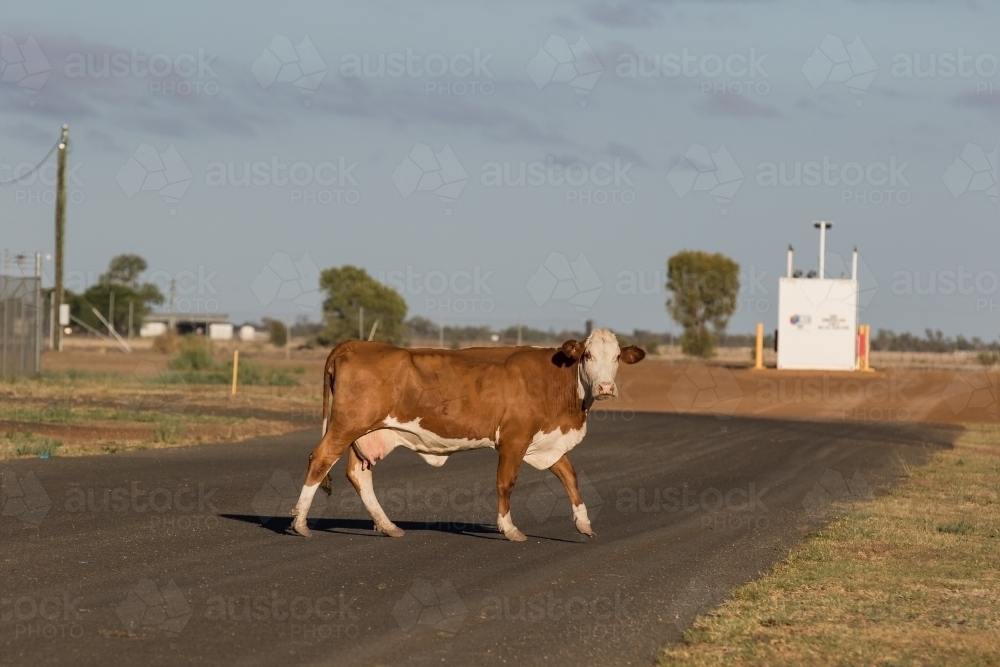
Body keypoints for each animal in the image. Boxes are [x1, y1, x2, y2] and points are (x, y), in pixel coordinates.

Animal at [292, 328, 644, 544]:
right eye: (587, 356)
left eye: (616, 358)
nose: (606, 387)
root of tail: (357, 344)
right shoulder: (514, 440)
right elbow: (506, 483)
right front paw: (509, 528)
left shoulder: (544, 442)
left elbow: (570, 477)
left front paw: (583, 523)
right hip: (346, 425)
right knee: (319, 460)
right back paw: (300, 523)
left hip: (369, 432)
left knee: (359, 474)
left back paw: (388, 526)